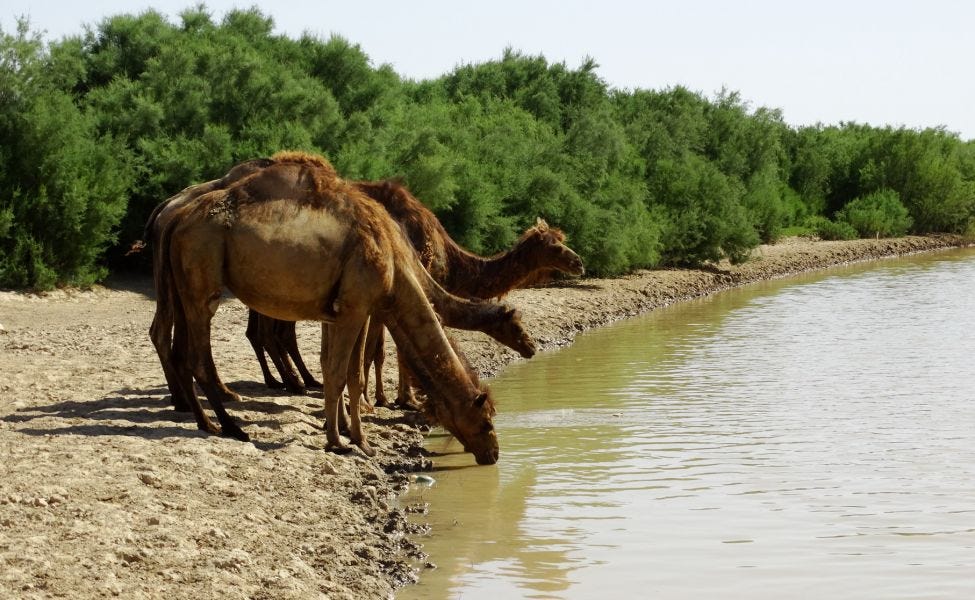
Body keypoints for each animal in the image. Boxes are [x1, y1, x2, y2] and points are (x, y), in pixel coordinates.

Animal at [152, 154, 508, 464]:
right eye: (486, 420)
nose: (493, 454)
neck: (395, 263)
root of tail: (175, 220)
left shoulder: (346, 311)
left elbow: (347, 373)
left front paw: (355, 437)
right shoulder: (354, 307)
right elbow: (339, 374)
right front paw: (342, 441)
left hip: (182, 284)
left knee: (179, 350)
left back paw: (206, 422)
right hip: (202, 274)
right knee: (199, 356)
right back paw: (231, 426)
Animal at [254, 177, 588, 404]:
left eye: (561, 239)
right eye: (554, 245)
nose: (579, 262)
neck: (452, 262)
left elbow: (386, 350)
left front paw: (392, 397)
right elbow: (386, 350)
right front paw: (401, 400)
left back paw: (297, 381)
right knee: (273, 331)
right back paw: (294, 383)